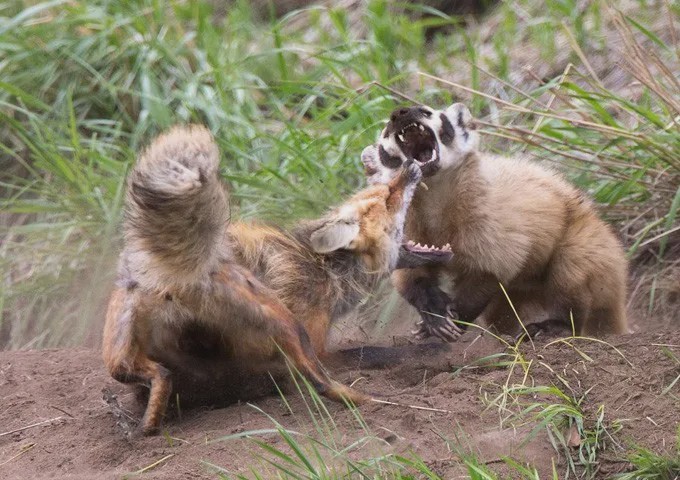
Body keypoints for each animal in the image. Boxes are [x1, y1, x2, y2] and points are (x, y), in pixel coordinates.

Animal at [103, 124, 448, 436]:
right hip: (285, 325)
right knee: (320, 383)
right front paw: (433, 351)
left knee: (146, 375)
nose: (411, 163)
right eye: (389, 197)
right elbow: (374, 352)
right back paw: (370, 402)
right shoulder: (315, 344)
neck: (325, 270)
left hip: (119, 351)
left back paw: (146, 422)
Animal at [364, 102, 628, 342]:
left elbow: (492, 267)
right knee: (500, 314)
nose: (400, 113)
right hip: (516, 293)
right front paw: (434, 316)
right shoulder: (402, 222)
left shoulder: (490, 217)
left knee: (571, 275)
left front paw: (452, 320)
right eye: (385, 133)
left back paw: (549, 328)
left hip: (588, 243)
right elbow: (410, 272)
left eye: (427, 111)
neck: (435, 199)